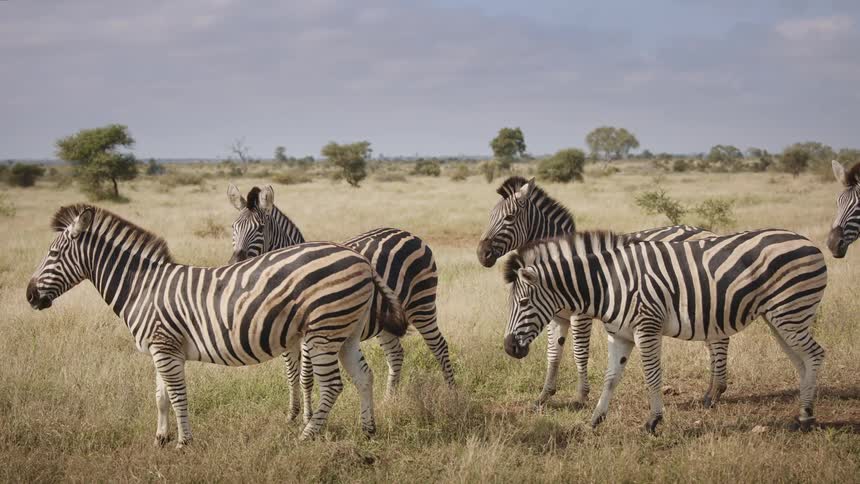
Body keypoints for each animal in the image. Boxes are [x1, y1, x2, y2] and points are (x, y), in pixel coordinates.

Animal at [26, 204, 407, 446]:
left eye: (53, 255)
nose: (30, 296)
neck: (143, 288)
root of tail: (358, 258)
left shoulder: (165, 348)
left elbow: (177, 395)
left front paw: (184, 442)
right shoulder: (161, 348)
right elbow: (160, 396)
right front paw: (160, 438)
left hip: (323, 332)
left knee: (332, 385)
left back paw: (306, 436)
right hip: (346, 332)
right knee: (364, 376)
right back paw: (368, 430)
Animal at [227, 184, 454, 419]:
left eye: (261, 228)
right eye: (233, 227)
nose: (236, 262)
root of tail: (410, 234)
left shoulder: (310, 335)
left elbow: (306, 376)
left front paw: (307, 416)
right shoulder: (285, 336)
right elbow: (291, 373)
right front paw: (292, 414)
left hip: (422, 303)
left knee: (439, 346)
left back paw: (453, 397)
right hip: (387, 318)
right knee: (396, 354)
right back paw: (389, 401)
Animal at [476, 176, 723, 407]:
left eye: (509, 218)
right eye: (489, 216)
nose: (482, 254)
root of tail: (706, 231)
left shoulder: (581, 315)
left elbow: (579, 351)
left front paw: (580, 396)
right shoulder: (555, 316)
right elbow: (553, 354)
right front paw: (544, 396)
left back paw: (714, 394)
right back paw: (710, 392)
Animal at [503, 230, 827, 433]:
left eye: (523, 302)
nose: (509, 348)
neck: (608, 283)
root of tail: (808, 242)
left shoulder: (647, 327)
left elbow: (652, 376)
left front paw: (653, 421)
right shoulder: (619, 335)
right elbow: (611, 378)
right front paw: (595, 419)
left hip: (791, 310)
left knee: (815, 355)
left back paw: (806, 417)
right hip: (779, 318)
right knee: (801, 361)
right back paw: (803, 413)